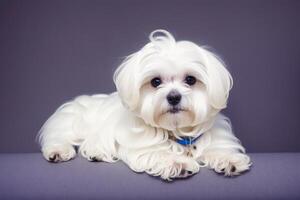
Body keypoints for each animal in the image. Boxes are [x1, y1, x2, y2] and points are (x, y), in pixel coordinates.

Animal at [38, 30, 252, 181]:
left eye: (190, 80)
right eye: (155, 82)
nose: (174, 97)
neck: (177, 132)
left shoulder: (216, 138)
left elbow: (220, 149)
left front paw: (230, 160)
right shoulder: (140, 146)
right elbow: (157, 152)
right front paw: (177, 162)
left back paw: (95, 153)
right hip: (73, 122)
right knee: (58, 136)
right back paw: (58, 151)